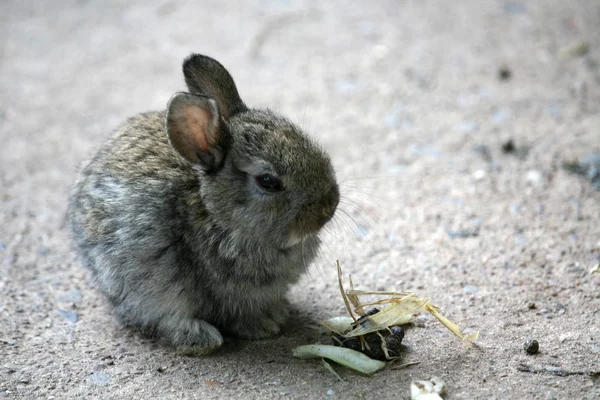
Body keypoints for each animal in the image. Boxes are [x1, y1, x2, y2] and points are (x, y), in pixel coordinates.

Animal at [67, 54, 338, 354]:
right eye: (268, 182)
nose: (329, 206)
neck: (215, 213)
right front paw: (263, 326)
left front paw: (276, 315)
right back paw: (201, 338)